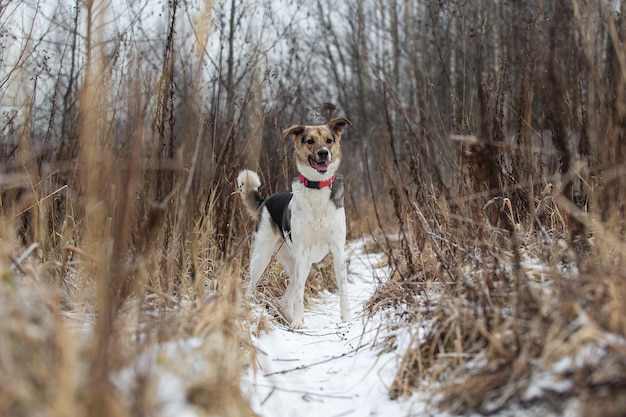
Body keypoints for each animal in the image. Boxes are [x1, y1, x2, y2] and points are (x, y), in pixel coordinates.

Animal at [236, 117, 352, 328]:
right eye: (310, 141)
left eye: (329, 140)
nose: (324, 153)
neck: (317, 187)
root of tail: (265, 200)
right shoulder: (303, 252)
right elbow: (300, 294)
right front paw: (298, 322)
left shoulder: (338, 250)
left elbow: (343, 289)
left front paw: (347, 319)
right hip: (264, 257)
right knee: (251, 287)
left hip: (297, 265)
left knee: (284, 300)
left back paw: (289, 321)